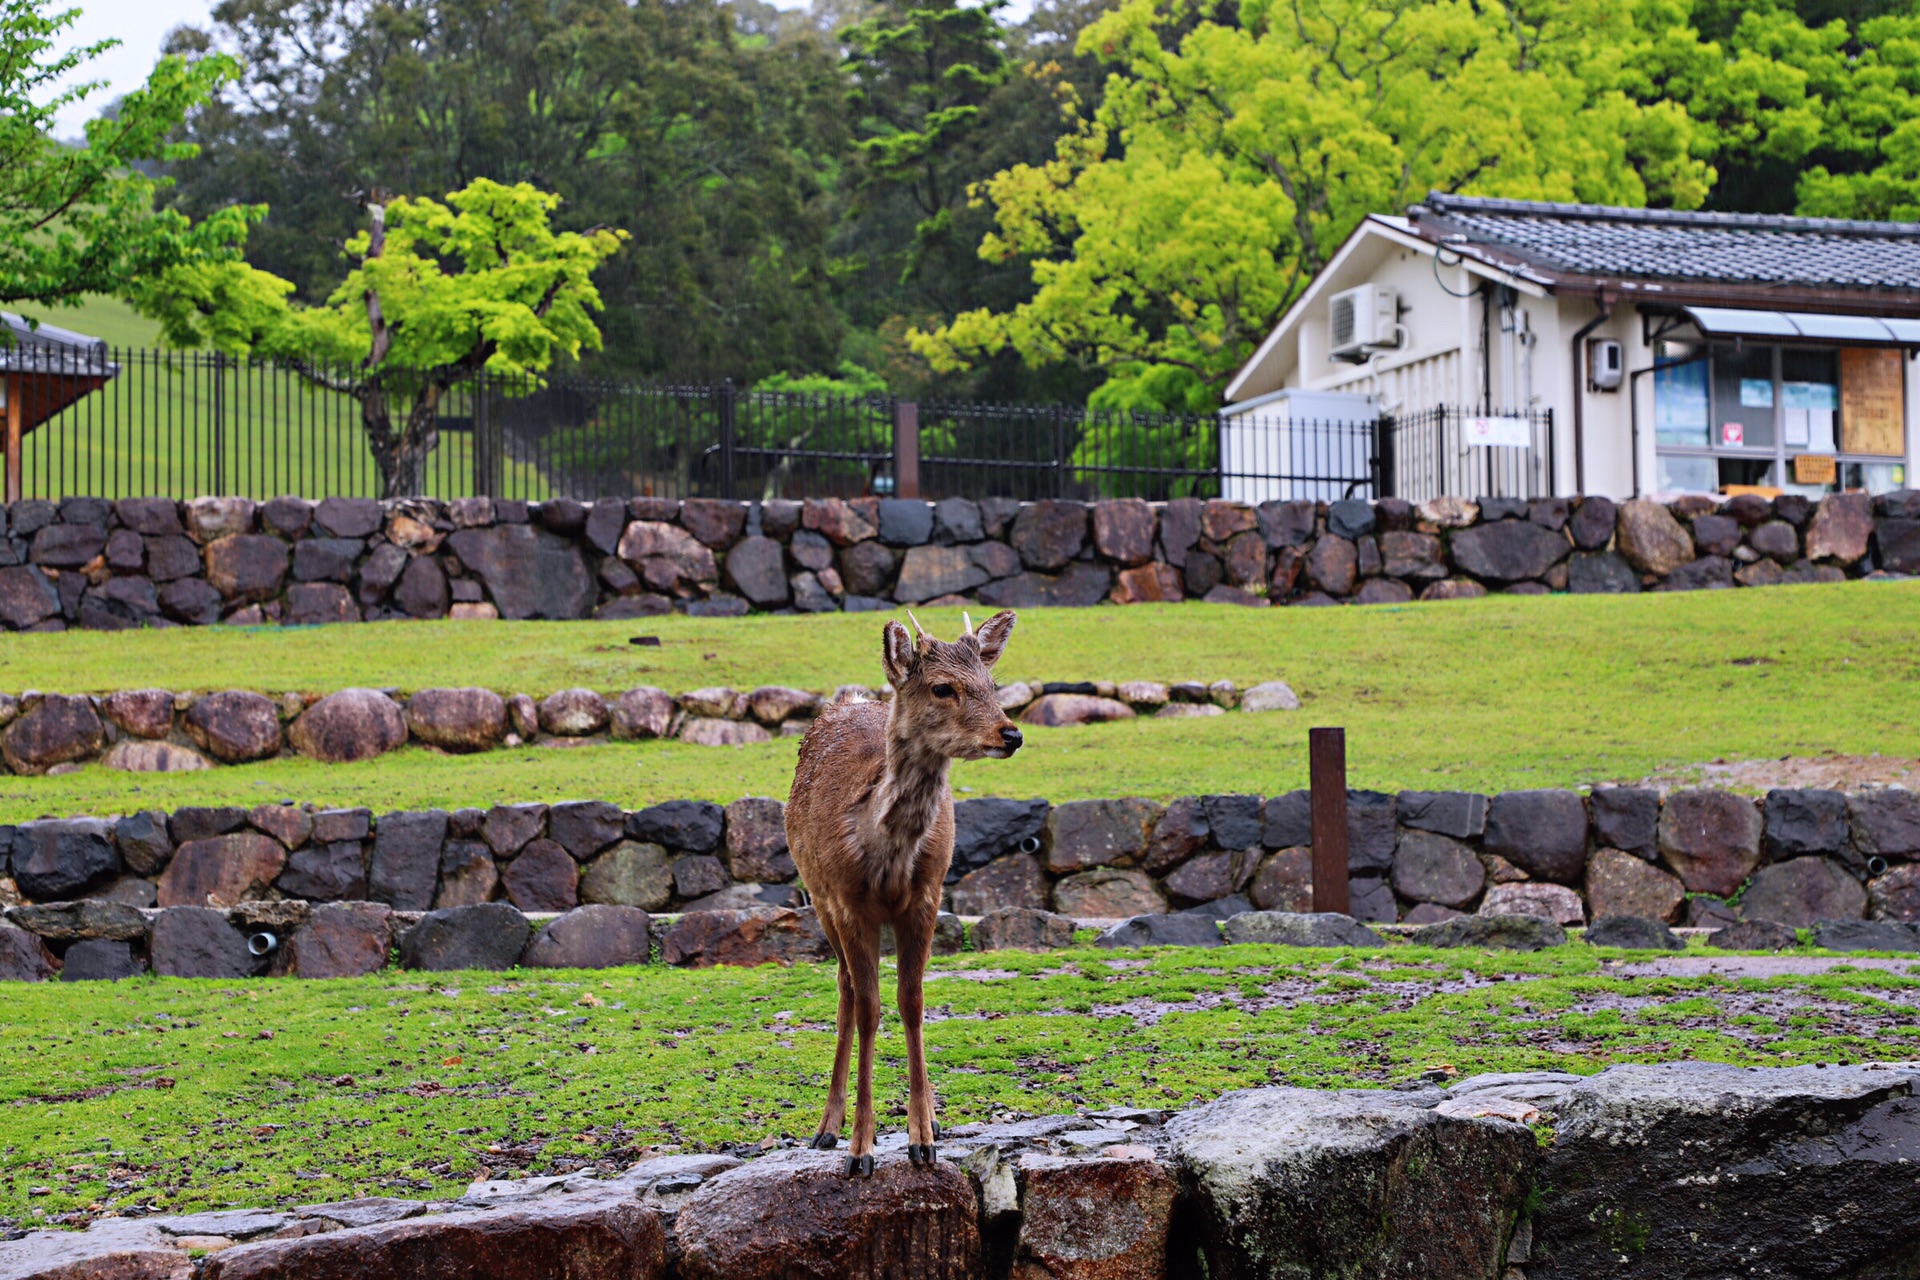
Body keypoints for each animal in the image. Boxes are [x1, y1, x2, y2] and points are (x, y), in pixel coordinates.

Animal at [783, 606, 1029, 1174]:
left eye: (992, 684)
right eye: (942, 688)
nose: (1010, 734)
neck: (886, 855)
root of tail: (851, 701)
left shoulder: (927, 896)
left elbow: (912, 1002)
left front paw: (924, 1137)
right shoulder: (848, 902)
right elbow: (871, 1008)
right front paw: (860, 1149)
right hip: (816, 897)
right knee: (846, 988)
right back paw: (827, 1128)